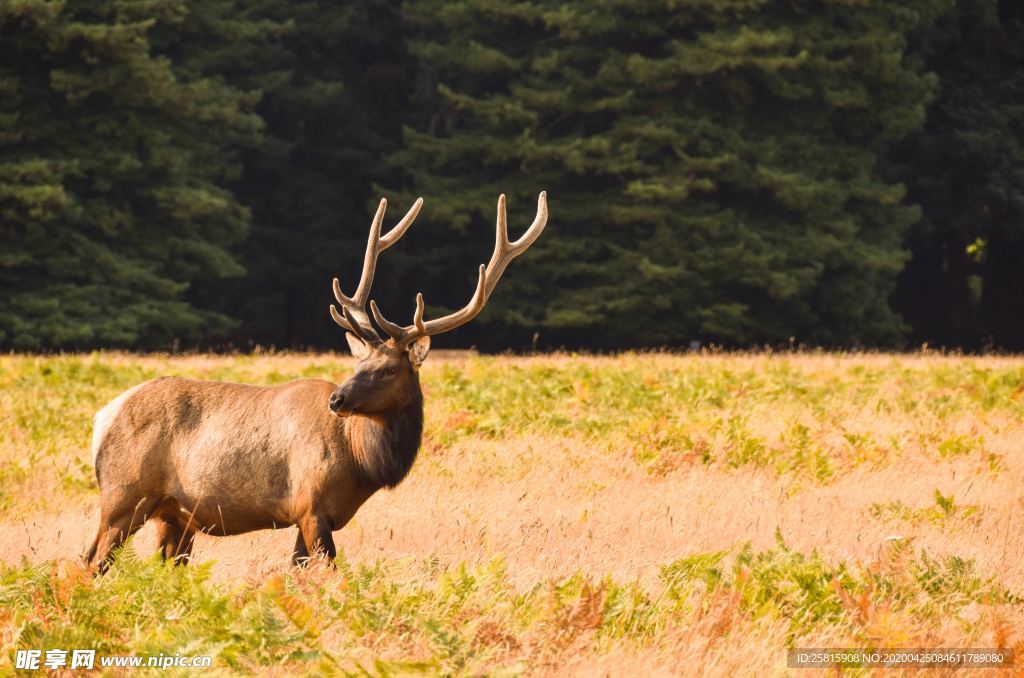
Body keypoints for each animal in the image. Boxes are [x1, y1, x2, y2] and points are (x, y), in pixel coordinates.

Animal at [83, 192, 548, 573]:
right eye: (360, 362)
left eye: (387, 368)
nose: (338, 400)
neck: (360, 462)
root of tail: (103, 417)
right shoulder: (310, 505)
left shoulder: (315, 516)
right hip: (124, 495)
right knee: (90, 561)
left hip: (174, 514)